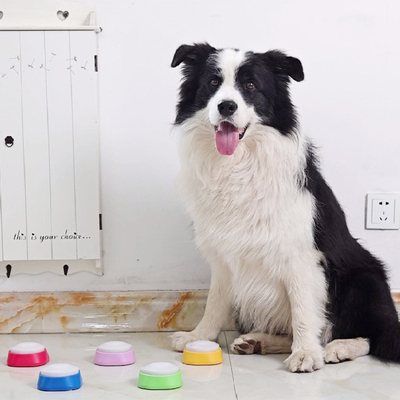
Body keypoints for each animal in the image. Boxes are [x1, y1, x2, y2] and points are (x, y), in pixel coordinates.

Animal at [170, 43, 400, 372]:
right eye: (213, 82)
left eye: (250, 85)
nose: (226, 106)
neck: (238, 164)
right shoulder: (222, 255)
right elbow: (215, 301)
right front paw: (197, 337)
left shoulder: (301, 255)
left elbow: (303, 309)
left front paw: (305, 354)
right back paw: (258, 341)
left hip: (363, 278)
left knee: (374, 335)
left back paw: (338, 348)